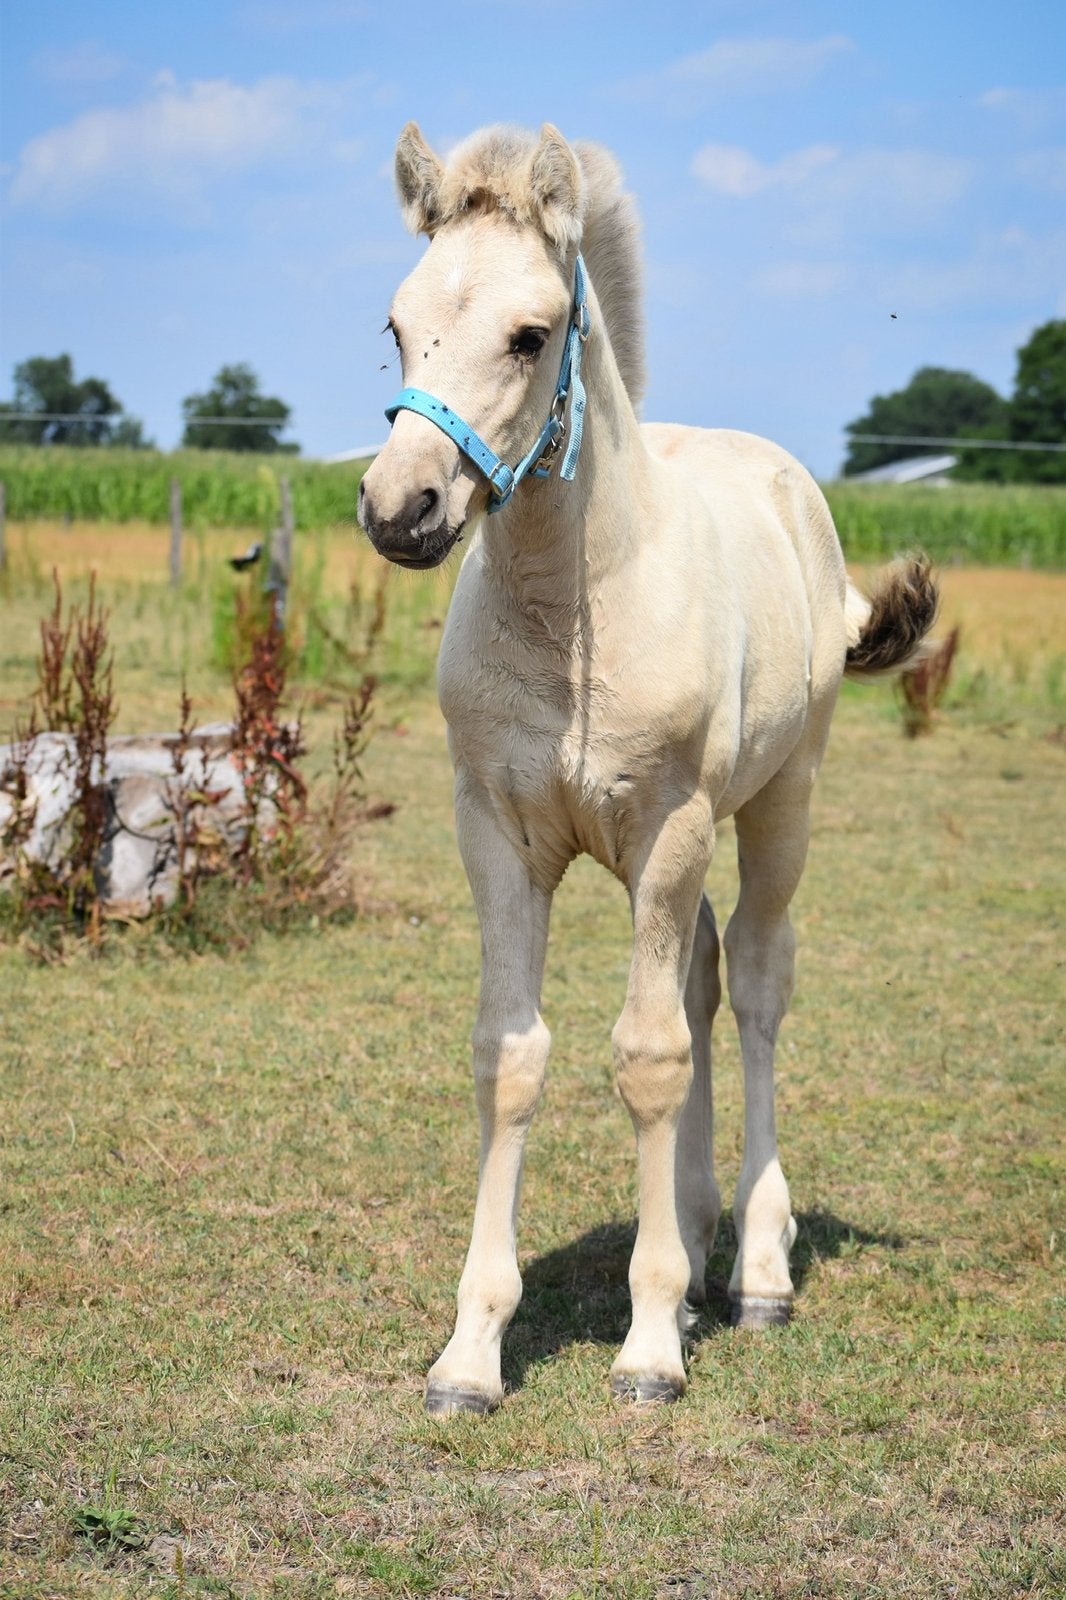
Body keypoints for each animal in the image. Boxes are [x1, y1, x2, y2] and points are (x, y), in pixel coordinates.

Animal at [358, 122, 937, 1415]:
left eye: (530, 335)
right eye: (397, 323)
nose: (401, 506)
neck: (577, 607)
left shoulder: (669, 822)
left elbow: (647, 1055)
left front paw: (652, 1341)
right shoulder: (494, 831)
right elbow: (512, 1057)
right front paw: (470, 1352)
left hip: (777, 803)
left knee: (757, 983)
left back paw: (758, 1266)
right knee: (705, 977)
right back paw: (697, 1220)